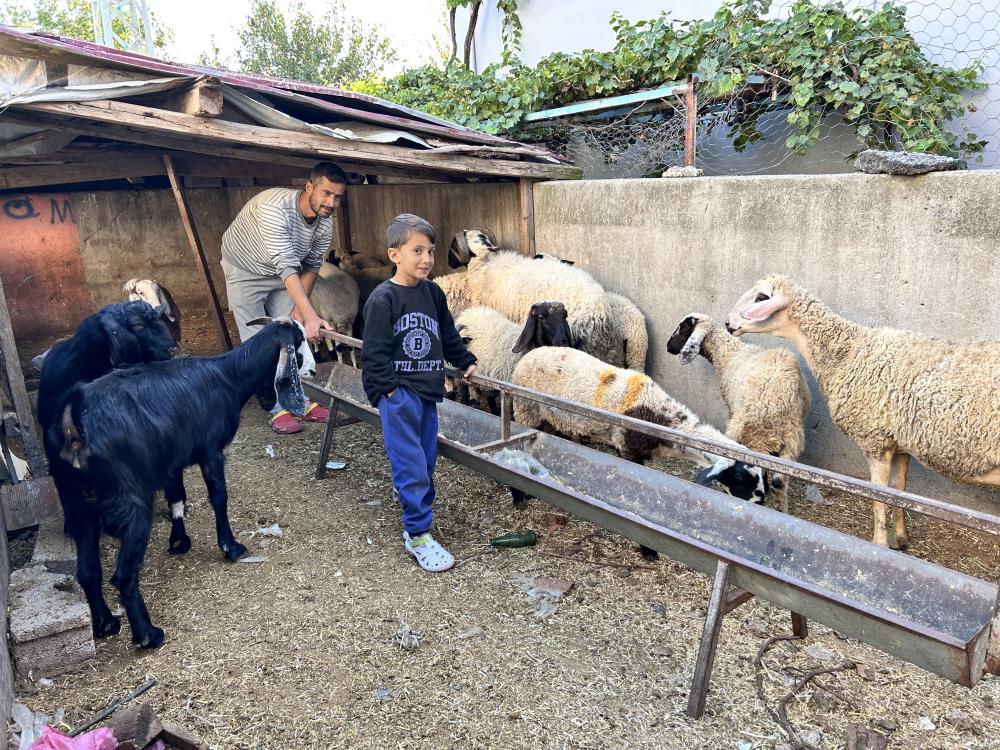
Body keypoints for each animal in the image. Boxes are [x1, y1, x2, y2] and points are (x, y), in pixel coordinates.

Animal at [51, 320, 316, 648]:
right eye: (300, 341)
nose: (313, 370)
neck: (227, 375)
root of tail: (73, 420)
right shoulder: (210, 450)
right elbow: (219, 495)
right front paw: (230, 546)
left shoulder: (172, 460)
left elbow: (177, 497)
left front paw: (179, 542)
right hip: (130, 498)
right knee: (123, 575)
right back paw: (148, 635)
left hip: (77, 502)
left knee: (88, 571)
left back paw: (106, 624)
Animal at [664, 314, 812, 516]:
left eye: (684, 328)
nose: (668, 347)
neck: (729, 354)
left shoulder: (730, 408)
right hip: (792, 440)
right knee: (780, 482)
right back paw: (782, 510)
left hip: (744, 430)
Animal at [728, 276, 1000, 552]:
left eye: (761, 298)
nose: (728, 323)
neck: (847, 352)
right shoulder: (899, 443)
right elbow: (899, 490)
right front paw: (899, 538)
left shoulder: (874, 439)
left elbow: (879, 496)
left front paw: (879, 544)